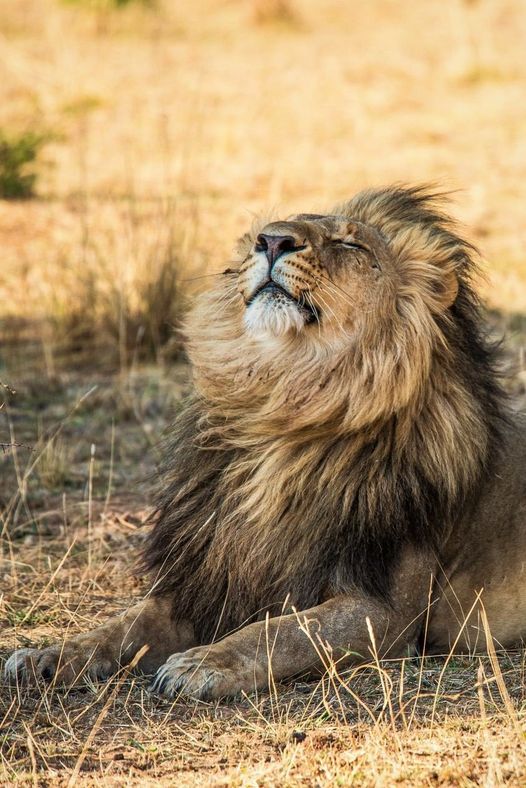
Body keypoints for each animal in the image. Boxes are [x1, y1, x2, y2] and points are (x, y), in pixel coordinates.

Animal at [5, 185, 526, 700]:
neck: (284, 407)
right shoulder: (206, 578)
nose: (273, 241)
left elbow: (281, 631)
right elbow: (120, 626)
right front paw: (47, 655)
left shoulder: (386, 611)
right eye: (266, 232)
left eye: (351, 244)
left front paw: (202, 664)